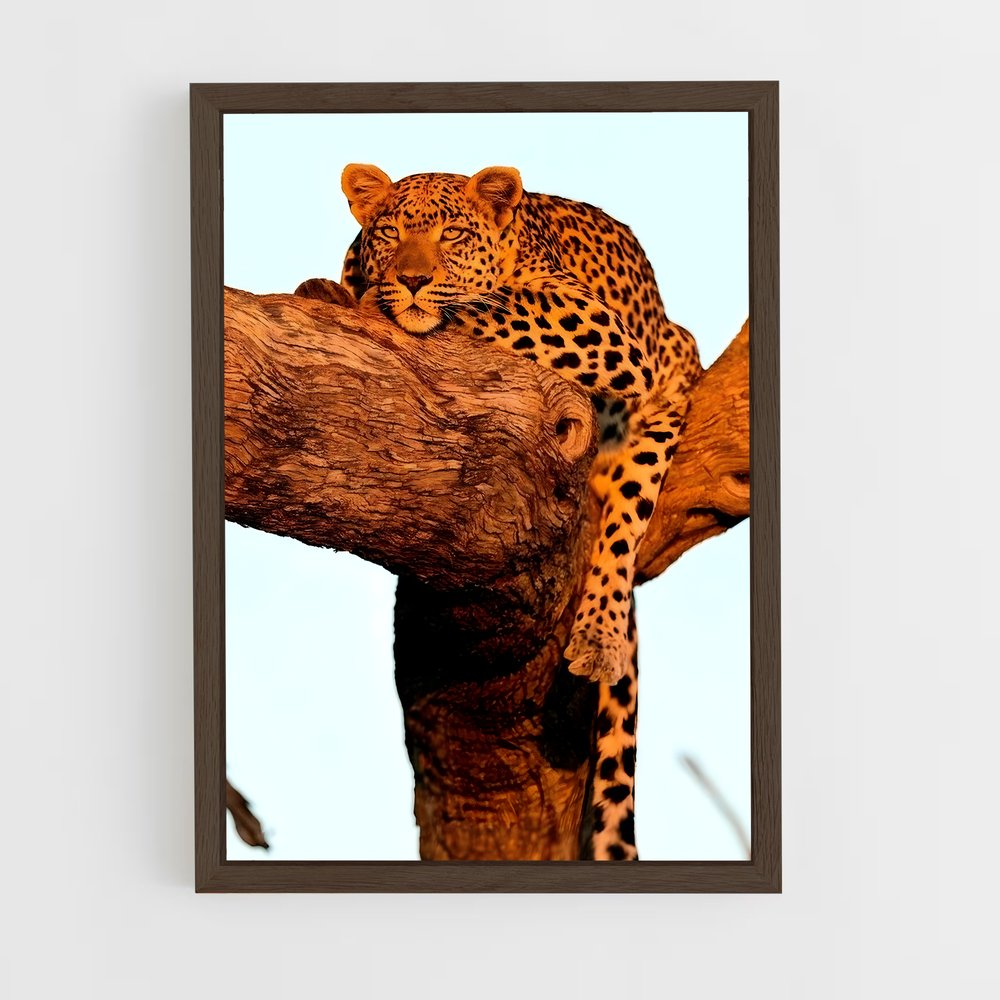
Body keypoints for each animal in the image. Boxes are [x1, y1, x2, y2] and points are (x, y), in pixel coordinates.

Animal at [340, 163, 701, 861]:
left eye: (452, 234)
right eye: (390, 232)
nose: (412, 279)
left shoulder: (603, 327)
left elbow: (503, 304)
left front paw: (402, 302)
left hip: (668, 384)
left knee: (623, 528)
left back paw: (597, 634)